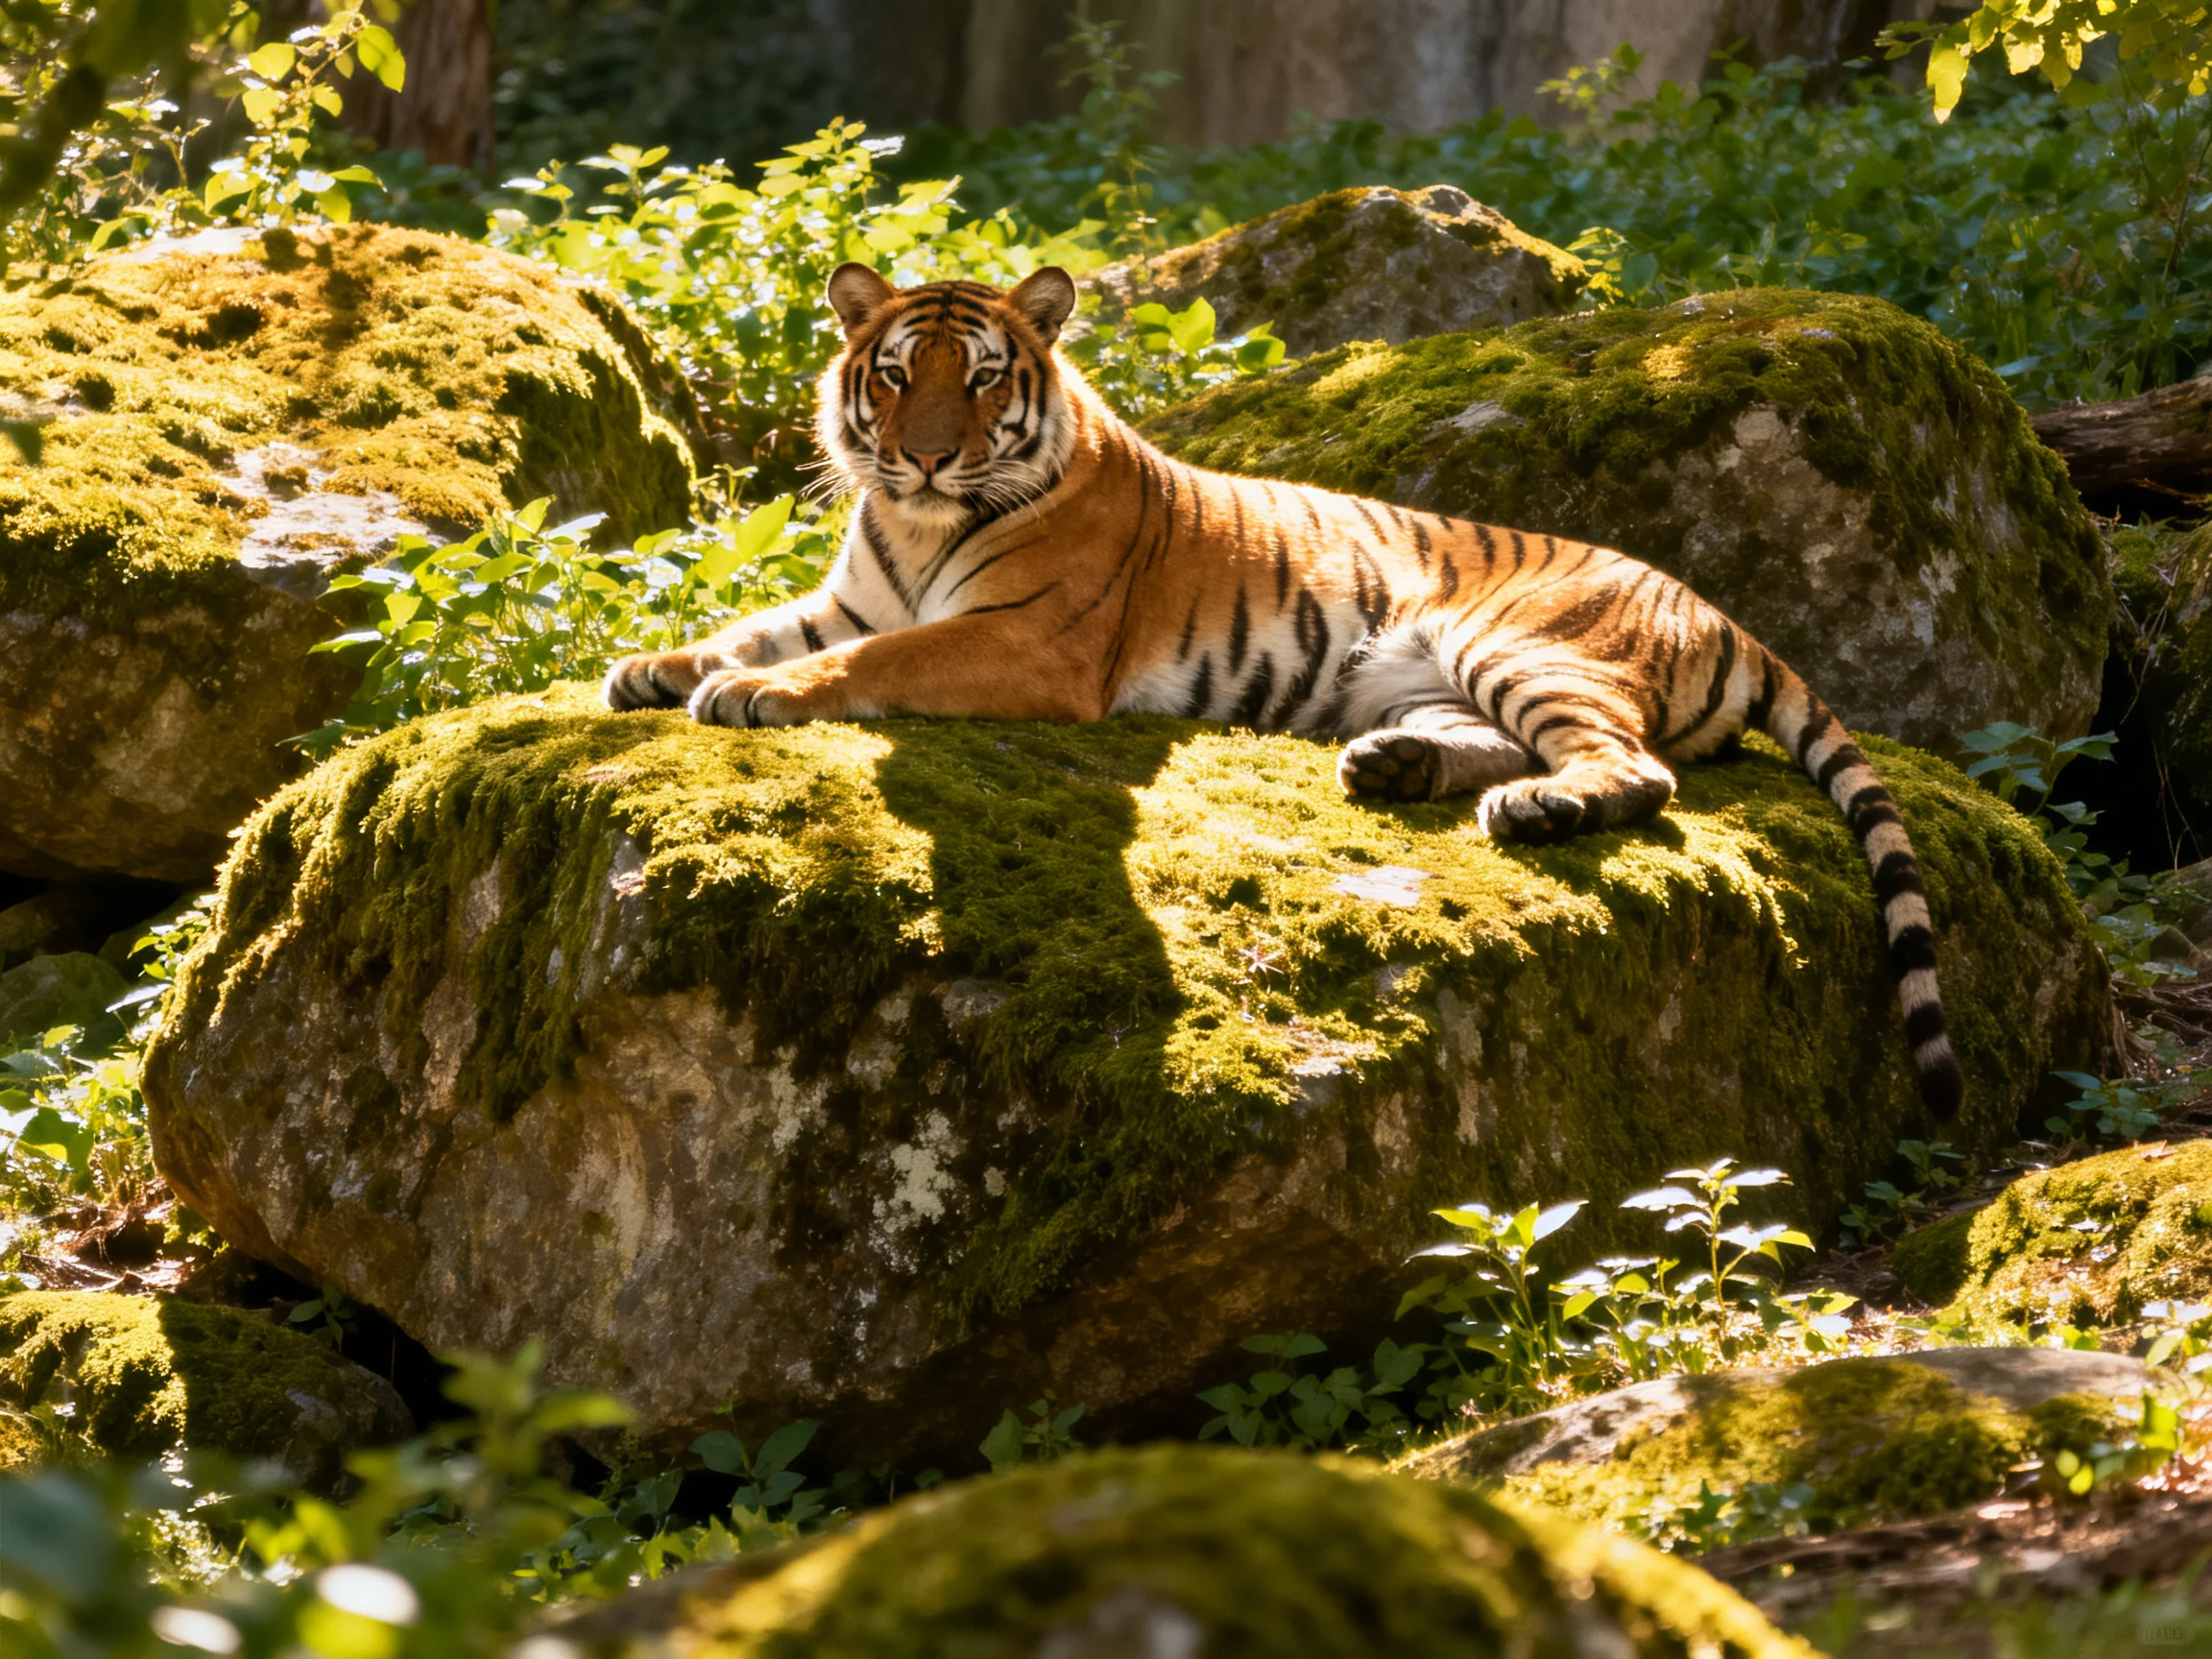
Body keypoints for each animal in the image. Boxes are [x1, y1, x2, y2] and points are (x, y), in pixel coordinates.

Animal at [604, 262, 1964, 1117]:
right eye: (892, 375)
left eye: (984, 378)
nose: (929, 455)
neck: (914, 524)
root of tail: (1725, 611)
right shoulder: (853, 598)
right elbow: (747, 629)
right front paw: (649, 667)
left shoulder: (1023, 641)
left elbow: (862, 664)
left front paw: (746, 699)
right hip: (1427, 681)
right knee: (1500, 745)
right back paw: (1396, 771)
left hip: (1516, 643)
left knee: (1636, 768)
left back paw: (1537, 813)